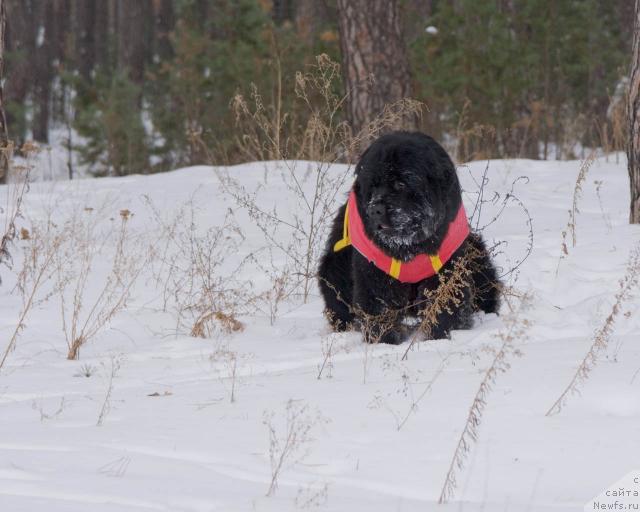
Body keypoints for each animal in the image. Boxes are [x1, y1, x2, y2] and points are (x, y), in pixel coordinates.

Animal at [318, 132, 500, 344]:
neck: (409, 245)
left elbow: (445, 306)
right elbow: (379, 306)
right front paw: (383, 340)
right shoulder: (374, 272)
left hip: (477, 254)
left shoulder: (447, 266)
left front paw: (441, 336)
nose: (375, 210)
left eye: (400, 184)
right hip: (334, 267)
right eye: (373, 185)